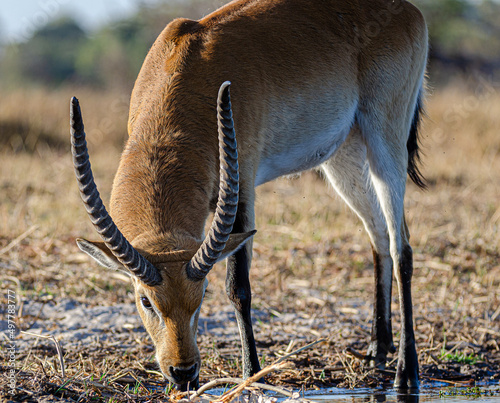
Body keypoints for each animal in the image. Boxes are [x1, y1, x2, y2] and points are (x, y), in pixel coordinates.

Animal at [71, 0, 426, 392]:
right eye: (145, 300)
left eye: (202, 294)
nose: (183, 372)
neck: (185, 72)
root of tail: (407, 9)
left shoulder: (242, 190)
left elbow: (238, 286)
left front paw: (249, 374)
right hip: (343, 154)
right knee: (378, 236)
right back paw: (378, 349)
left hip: (385, 137)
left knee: (402, 245)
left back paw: (406, 373)